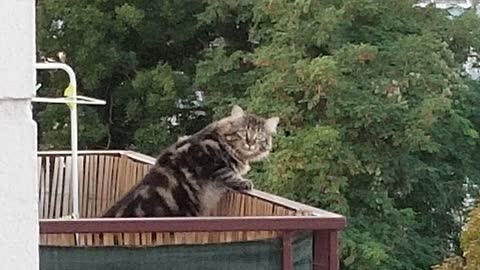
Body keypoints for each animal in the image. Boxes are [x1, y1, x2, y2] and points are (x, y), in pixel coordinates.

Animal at [102, 105, 280, 217]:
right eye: (243, 133)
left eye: (259, 137)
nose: (250, 143)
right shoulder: (206, 160)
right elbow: (227, 172)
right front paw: (244, 181)